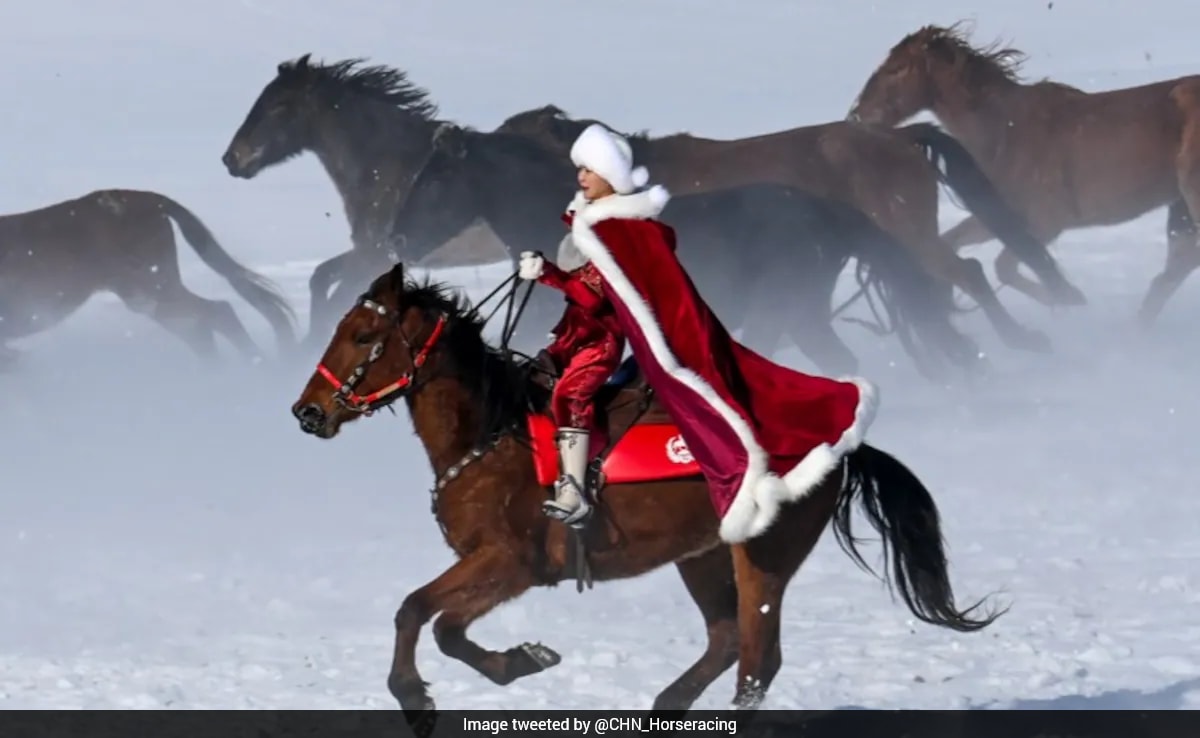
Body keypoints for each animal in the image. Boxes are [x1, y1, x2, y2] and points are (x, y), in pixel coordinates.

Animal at [290, 263, 1003, 720]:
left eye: (363, 336)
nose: (308, 412)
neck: (492, 431)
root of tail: (841, 446)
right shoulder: (495, 567)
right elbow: (443, 627)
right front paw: (524, 658)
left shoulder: (510, 562)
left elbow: (419, 613)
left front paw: (418, 693)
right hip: (703, 555)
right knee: (725, 642)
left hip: (762, 557)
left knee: (756, 663)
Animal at [847, 23, 1200, 326]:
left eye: (896, 69)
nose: (858, 115)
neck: (1004, 132)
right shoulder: (1003, 215)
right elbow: (959, 243)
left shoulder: (1048, 220)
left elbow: (1007, 264)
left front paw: (1068, 296)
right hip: (1180, 208)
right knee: (1176, 266)